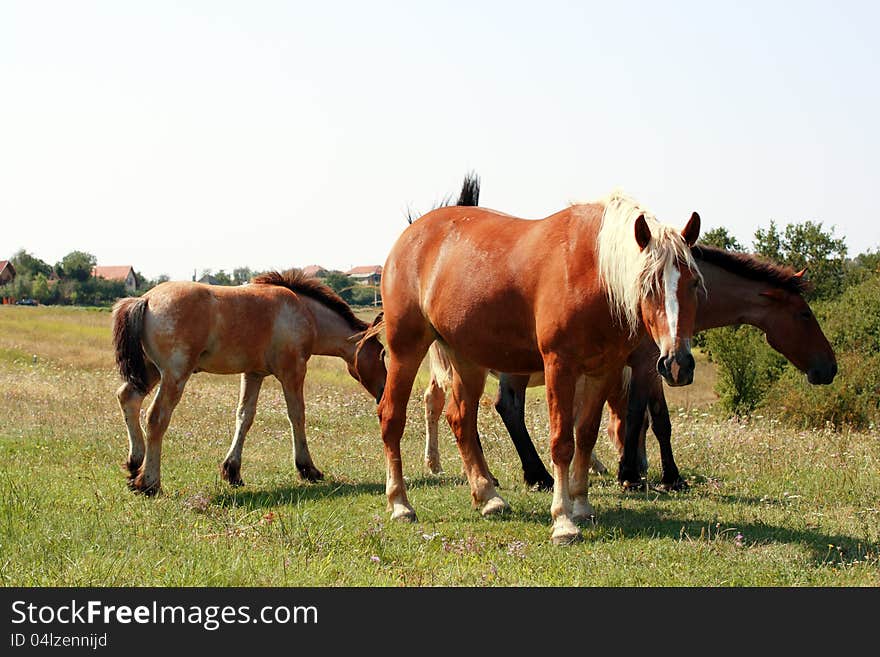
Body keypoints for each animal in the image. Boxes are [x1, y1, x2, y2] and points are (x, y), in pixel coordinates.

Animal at [111, 270, 384, 492]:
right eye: (382, 353)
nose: (383, 391)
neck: (305, 311)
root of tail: (145, 300)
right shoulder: (293, 371)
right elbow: (297, 415)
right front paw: (308, 469)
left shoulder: (253, 373)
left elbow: (244, 416)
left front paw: (232, 471)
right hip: (174, 375)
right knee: (156, 418)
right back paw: (150, 483)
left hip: (151, 372)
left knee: (128, 398)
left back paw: (135, 464)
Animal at [378, 179, 700, 544]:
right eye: (647, 284)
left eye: (693, 282)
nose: (677, 363)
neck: (593, 269)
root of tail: (412, 233)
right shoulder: (559, 366)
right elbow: (562, 442)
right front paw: (563, 521)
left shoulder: (604, 370)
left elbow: (585, 436)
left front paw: (582, 505)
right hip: (406, 349)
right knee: (392, 417)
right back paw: (401, 504)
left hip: (468, 358)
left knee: (460, 419)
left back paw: (488, 497)